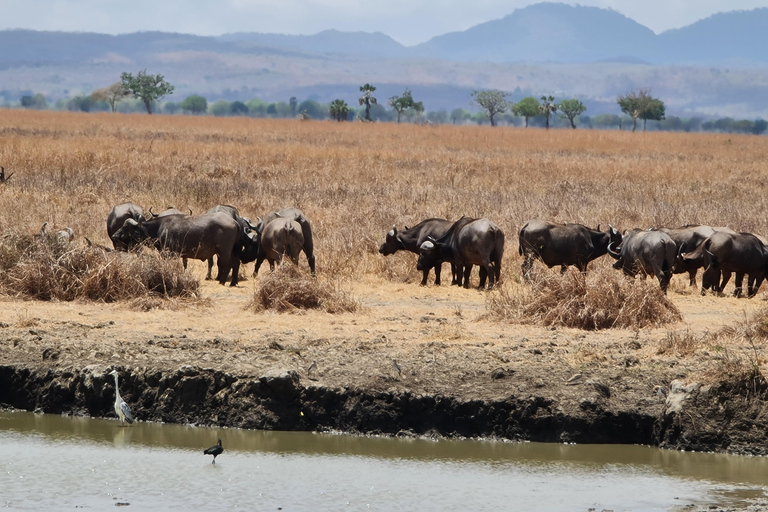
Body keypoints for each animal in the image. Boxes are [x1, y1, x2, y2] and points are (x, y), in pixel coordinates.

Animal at [109, 210, 243, 286]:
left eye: (126, 228)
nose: (114, 235)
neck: (159, 228)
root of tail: (234, 222)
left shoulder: (169, 254)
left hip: (224, 251)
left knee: (227, 264)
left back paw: (222, 281)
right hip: (232, 251)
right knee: (236, 263)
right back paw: (233, 282)